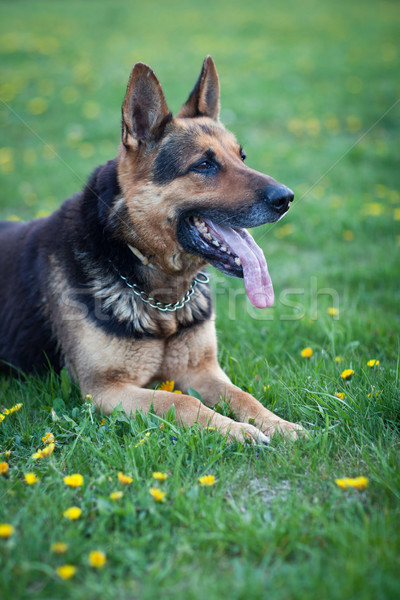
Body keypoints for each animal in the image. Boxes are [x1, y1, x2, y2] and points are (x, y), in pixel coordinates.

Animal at [0, 57, 304, 440]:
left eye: (242, 157)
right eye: (204, 165)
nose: (286, 198)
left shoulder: (203, 371)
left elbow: (242, 395)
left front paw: (279, 425)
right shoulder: (105, 390)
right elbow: (181, 401)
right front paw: (238, 432)